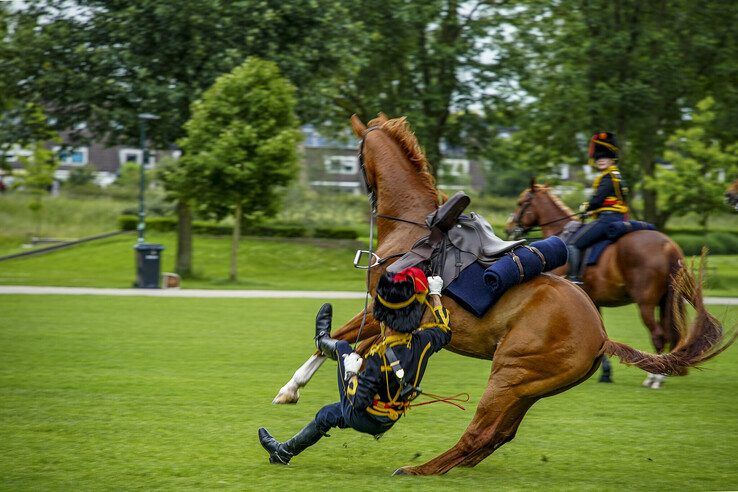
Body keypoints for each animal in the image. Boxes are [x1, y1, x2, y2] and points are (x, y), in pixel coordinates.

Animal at [506, 183, 684, 386]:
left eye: (521, 203)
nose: (509, 228)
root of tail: (667, 246)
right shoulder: (592, 301)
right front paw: (605, 373)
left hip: (646, 304)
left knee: (658, 335)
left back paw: (654, 377)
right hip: (664, 302)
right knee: (667, 334)